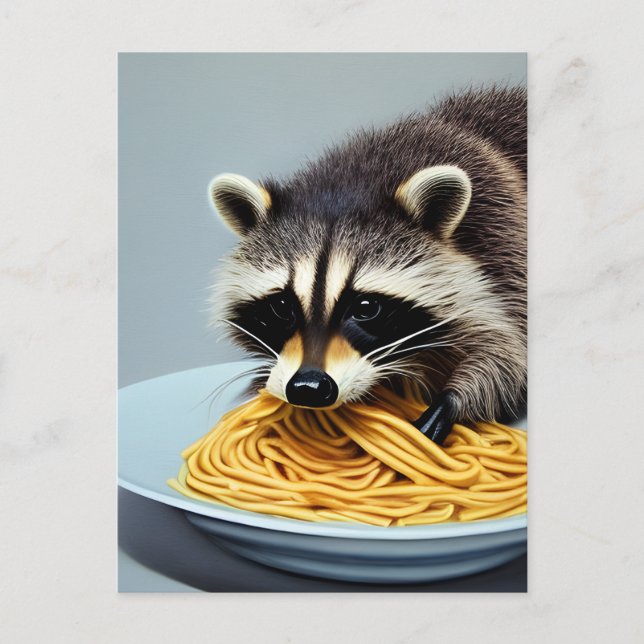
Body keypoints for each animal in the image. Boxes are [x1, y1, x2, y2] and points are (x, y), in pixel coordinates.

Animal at [208, 86, 526, 444]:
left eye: (366, 307)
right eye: (281, 306)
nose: (308, 388)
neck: (352, 183)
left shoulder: (504, 243)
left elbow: (505, 351)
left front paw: (452, 401)